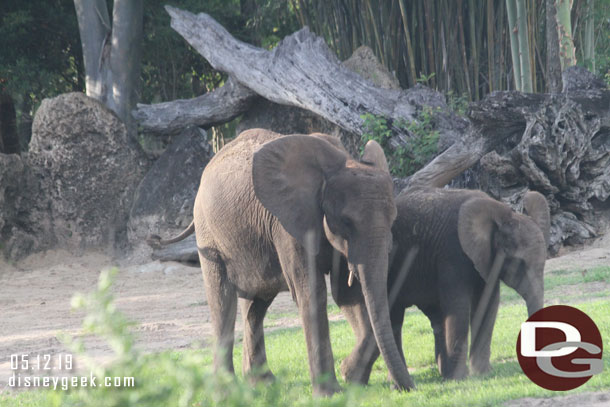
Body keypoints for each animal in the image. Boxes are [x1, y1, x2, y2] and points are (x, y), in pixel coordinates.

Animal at [150, 130, 414, 396]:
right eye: (346, 221)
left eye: (393, 218)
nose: (407, 388)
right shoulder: (287, 225)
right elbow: (312, 292)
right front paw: (331, 393)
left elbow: (348, 295)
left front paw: (351, 376)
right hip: (209, 236)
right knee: (222, 301)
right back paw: (226, 391)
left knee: (256, 304)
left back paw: (262, 383)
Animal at [330, 188, 548, 386]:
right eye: (518, 263)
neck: (502, 213)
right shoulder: (452, 254)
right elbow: (458, 306)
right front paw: (459, 379)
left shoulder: (487, 260)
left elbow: (488, 304)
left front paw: (483, 373)